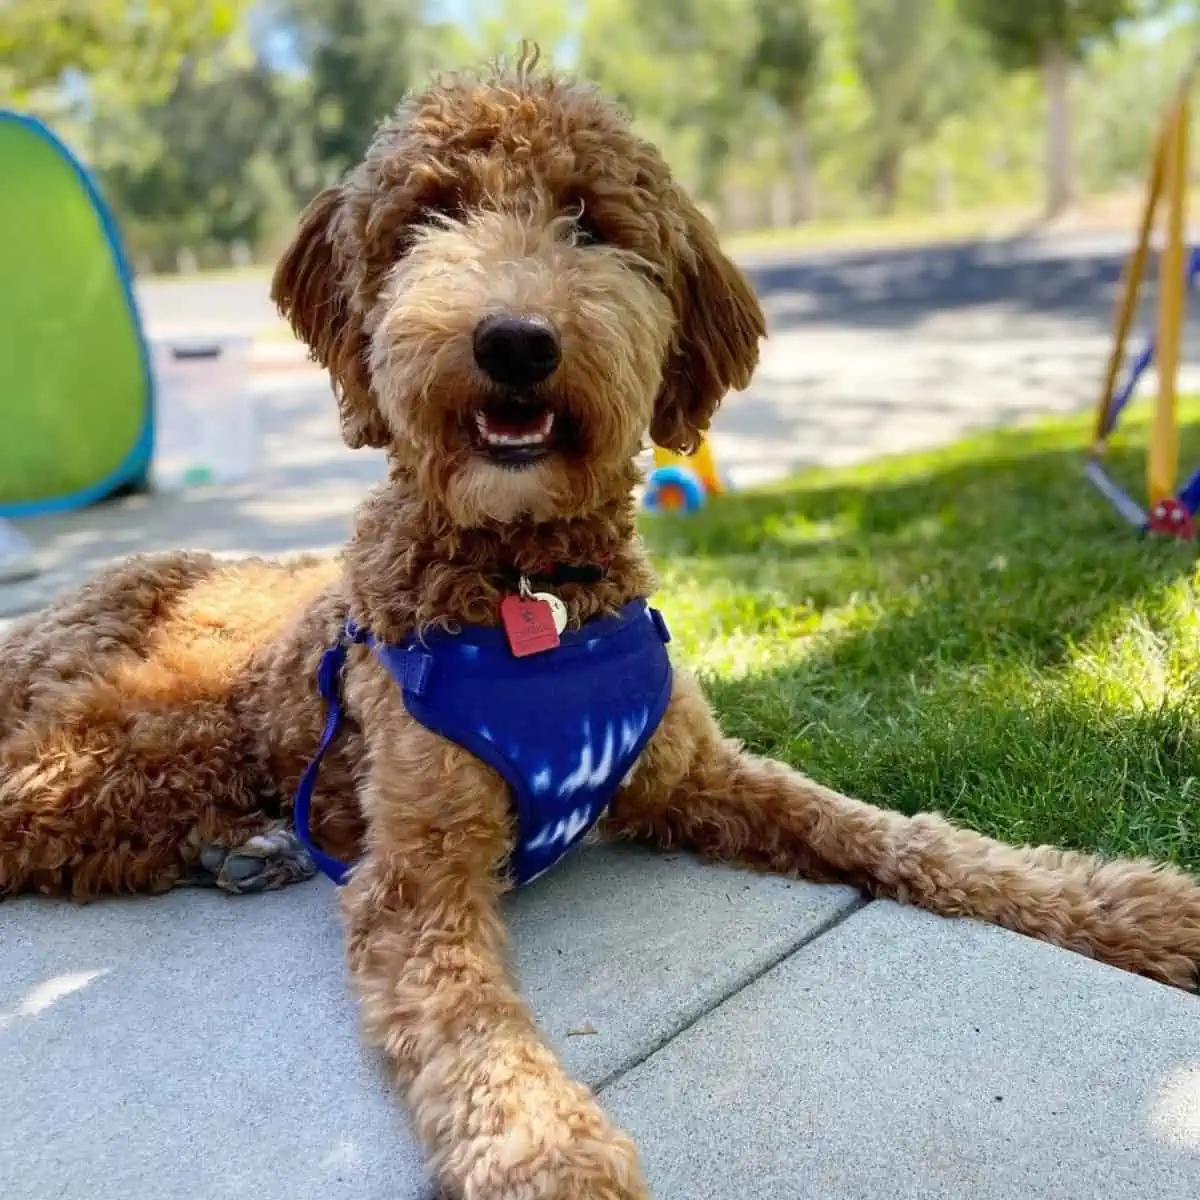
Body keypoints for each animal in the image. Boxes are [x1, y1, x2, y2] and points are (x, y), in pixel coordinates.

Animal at [2, 54, 1200, 1200]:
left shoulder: (701, 773)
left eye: (589, 220)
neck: (529, 588)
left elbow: (907, 837)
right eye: (429, 217)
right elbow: (470, 1023)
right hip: (146, 740)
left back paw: (244, 849)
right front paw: (549, 1154)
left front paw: (1133, 908)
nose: (514, 341)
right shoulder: (416, 877)